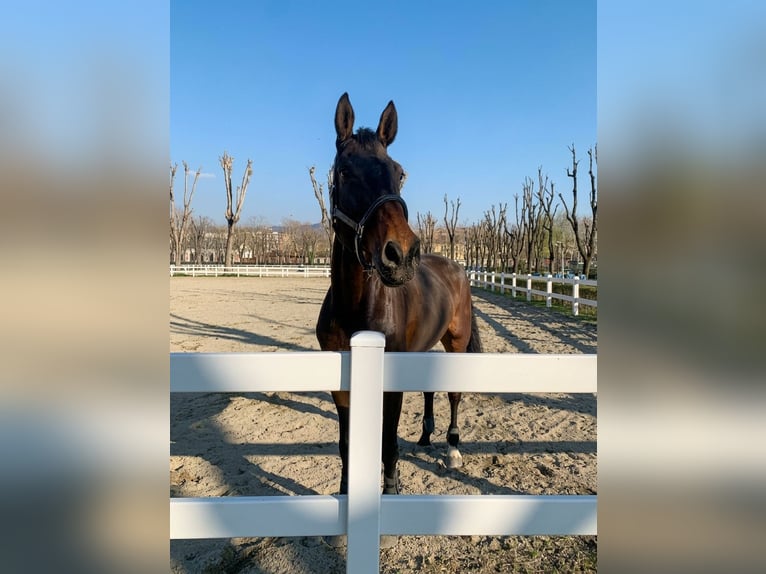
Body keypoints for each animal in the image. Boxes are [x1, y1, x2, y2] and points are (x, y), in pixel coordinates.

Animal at [316, 92, 482, 498]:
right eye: (344, 171)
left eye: (399, 172)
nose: (401, 253)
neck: (356, 310)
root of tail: (455, 267)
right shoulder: (341, 384)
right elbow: (347, 443)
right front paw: (345, 491)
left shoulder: (388, 383)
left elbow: (388, 442)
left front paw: (391, 490)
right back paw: (425, 434)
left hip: (456, 341)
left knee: (454, 393)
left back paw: (452, 448)